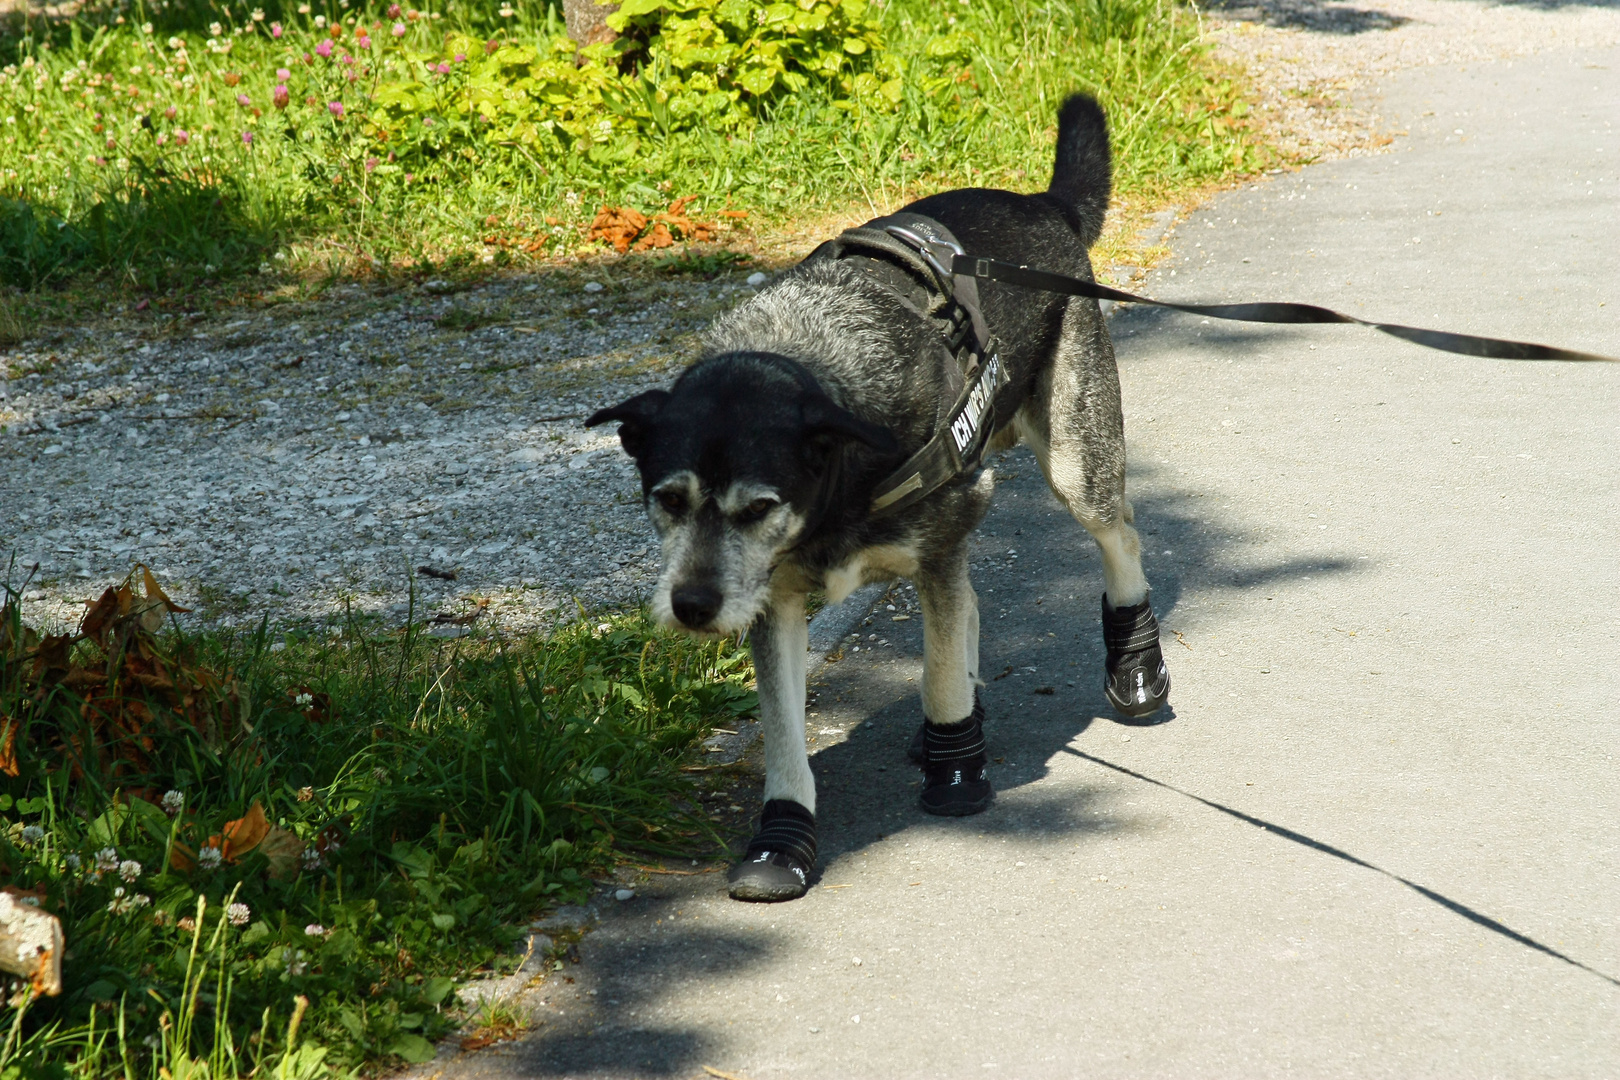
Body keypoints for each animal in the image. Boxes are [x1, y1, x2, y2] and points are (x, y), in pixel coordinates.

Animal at [589, 95, 1172, 906]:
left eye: (758, 507)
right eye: (668, 500)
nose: (693, 607)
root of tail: (1042, 204)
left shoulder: (937, 542)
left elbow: (937, 674)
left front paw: (956, 769)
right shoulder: (777, 599)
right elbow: (784, 732)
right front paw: (783, 839)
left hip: (1077, 462)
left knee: (1120, 539)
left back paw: (1134, 665)